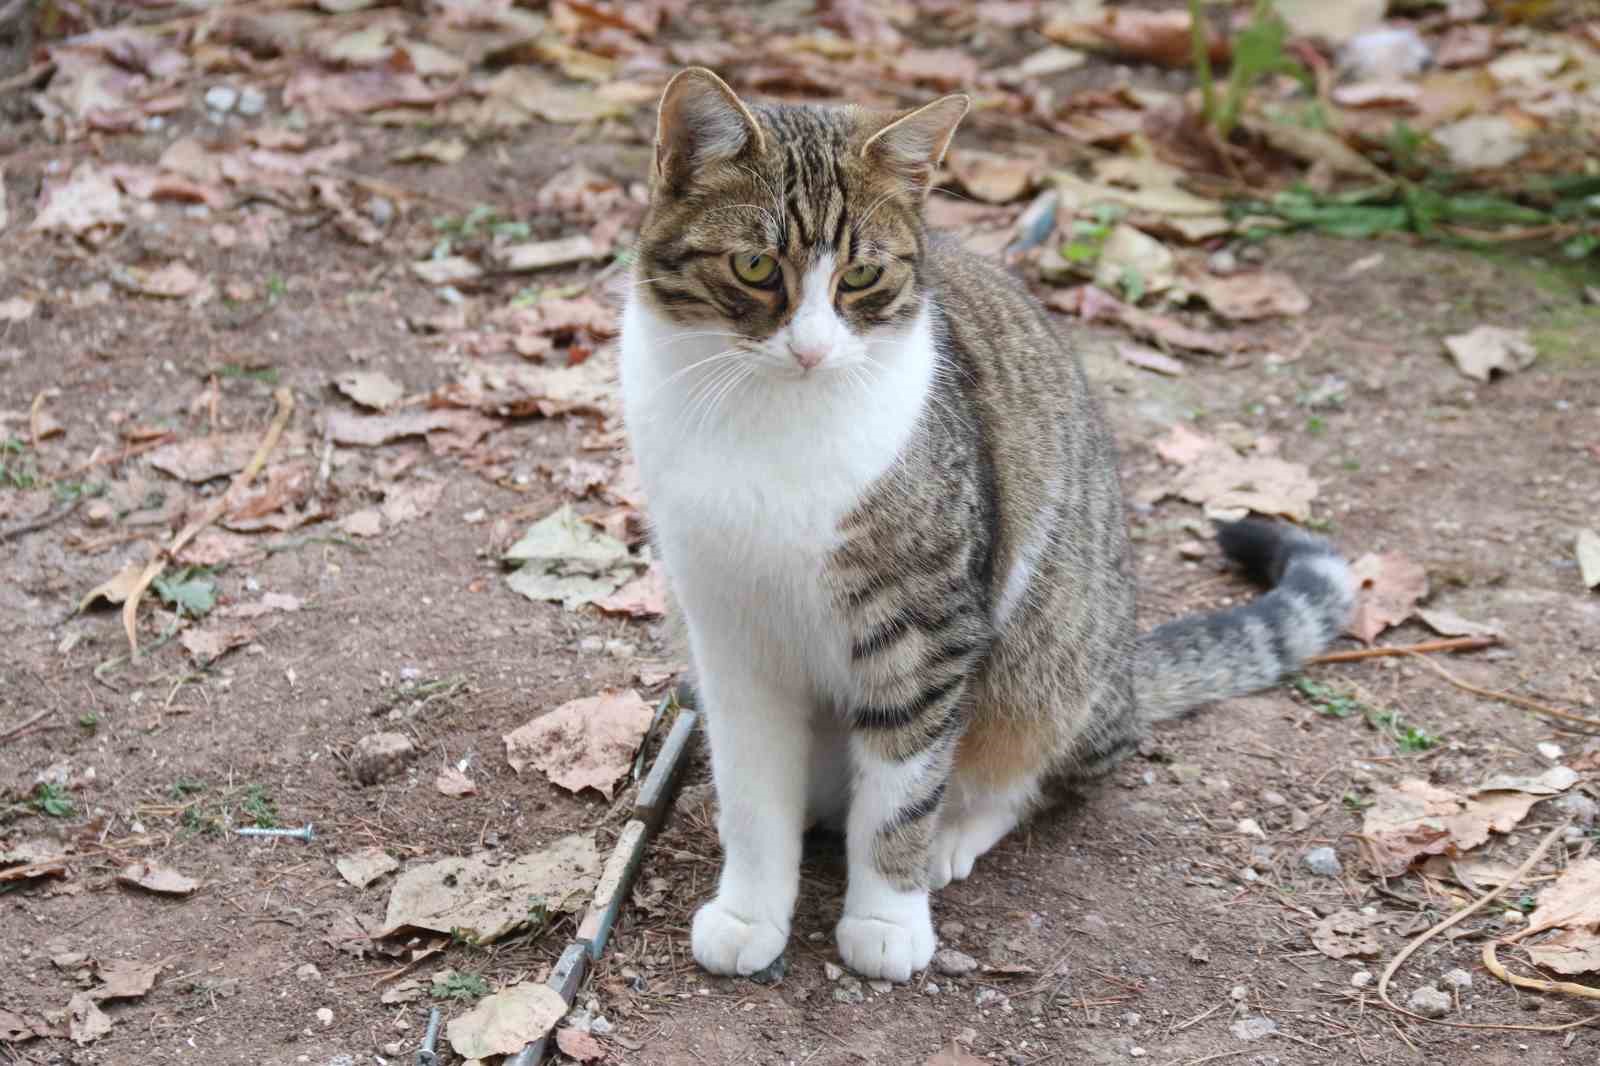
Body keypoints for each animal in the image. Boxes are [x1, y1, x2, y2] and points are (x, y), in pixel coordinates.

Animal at [617, 66, 1356, 979]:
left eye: (861, 277)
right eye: (755, 266)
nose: (812, 351)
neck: (766, 423)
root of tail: (1126, 675)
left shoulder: (926, 624)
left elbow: (902, 788)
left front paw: (888, 917)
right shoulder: (730, 631)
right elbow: (752, 792)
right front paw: (753, 910)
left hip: (1050, 662)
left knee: (1037, 772)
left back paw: (954, 833)